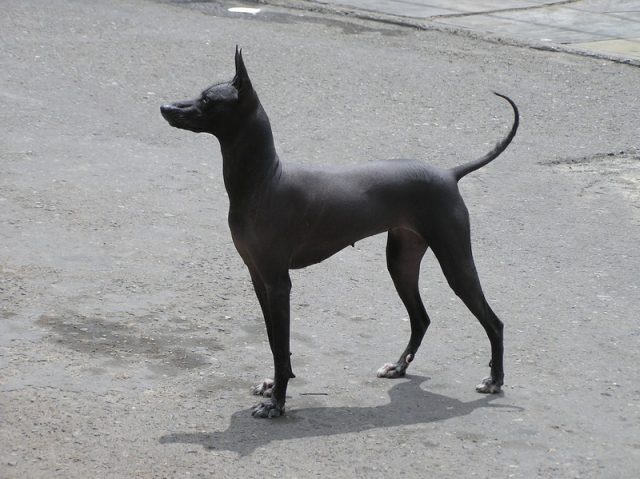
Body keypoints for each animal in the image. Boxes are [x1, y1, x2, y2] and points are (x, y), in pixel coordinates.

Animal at [160, 47, 520, 418]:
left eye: (208, 100)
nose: (165, 107)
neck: (264, 180)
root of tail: (449, 174)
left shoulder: (278, 284)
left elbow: (281, 348)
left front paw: (277, 403)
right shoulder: (259, 279)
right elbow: (275, 343)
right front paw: (273, 388)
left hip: (455, 263)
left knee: (493, 322)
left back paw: (494, 380)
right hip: (401, 262)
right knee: (421, 318)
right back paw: (398, 367)